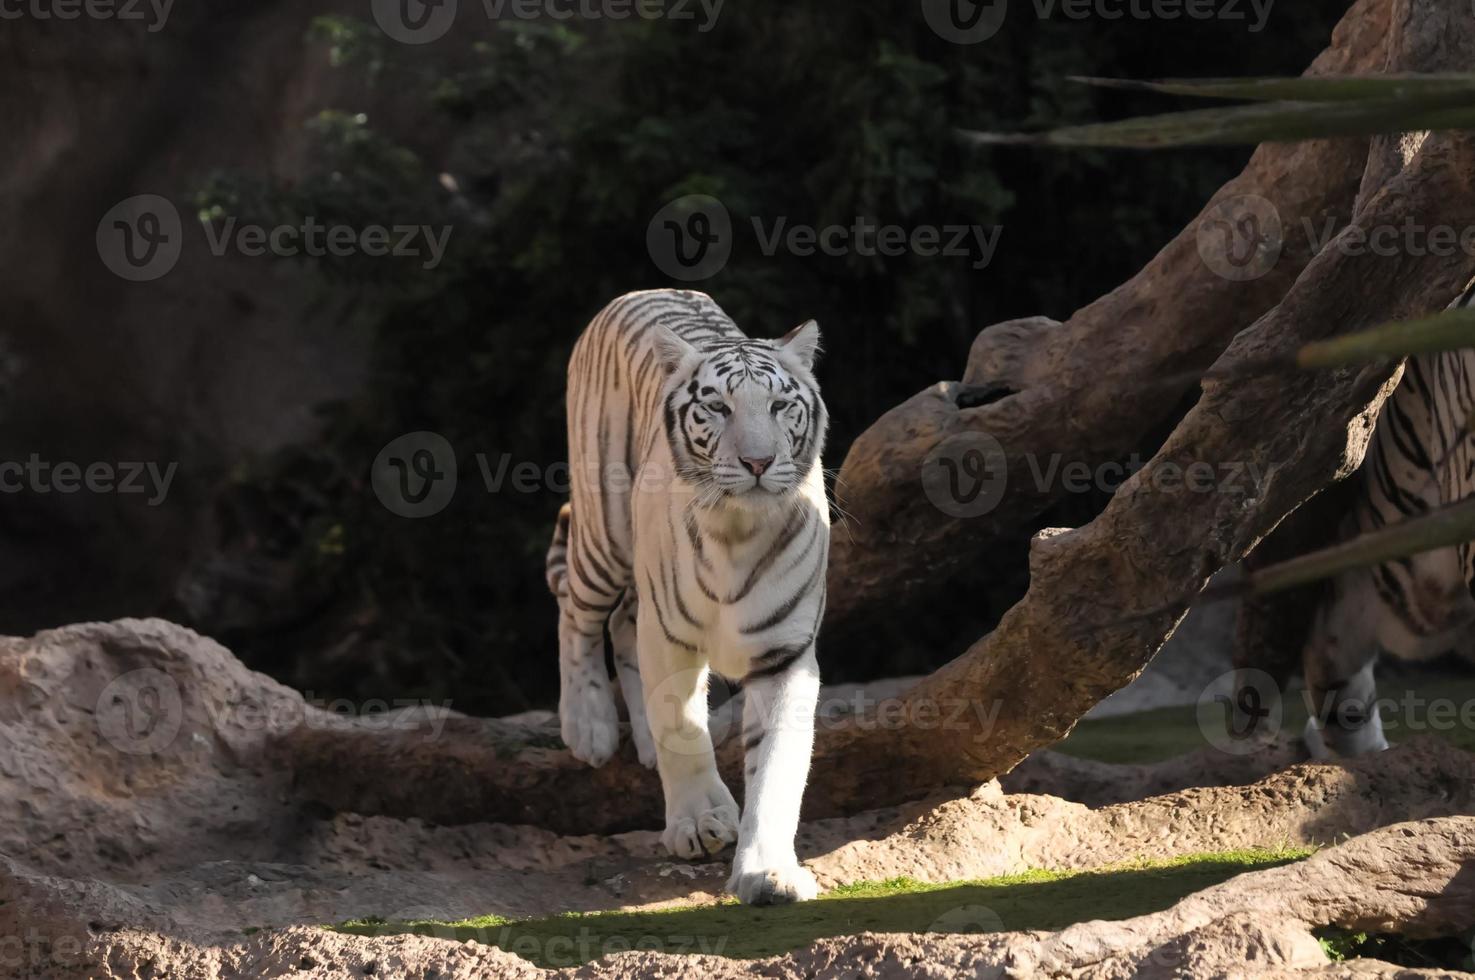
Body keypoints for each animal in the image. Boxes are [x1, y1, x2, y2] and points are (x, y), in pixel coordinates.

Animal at [551, 287, 831, 909]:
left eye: (780, 406)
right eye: (718, 408)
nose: (758, 462)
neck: (737, 532)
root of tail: (639, 291)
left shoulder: (784, 656)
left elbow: (777, 766)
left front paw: (768, 873)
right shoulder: (670, 636)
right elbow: (681, 725)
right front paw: (701, 823)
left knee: (621, 627)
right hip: (604, 534)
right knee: (577, 614)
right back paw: (589, 726)